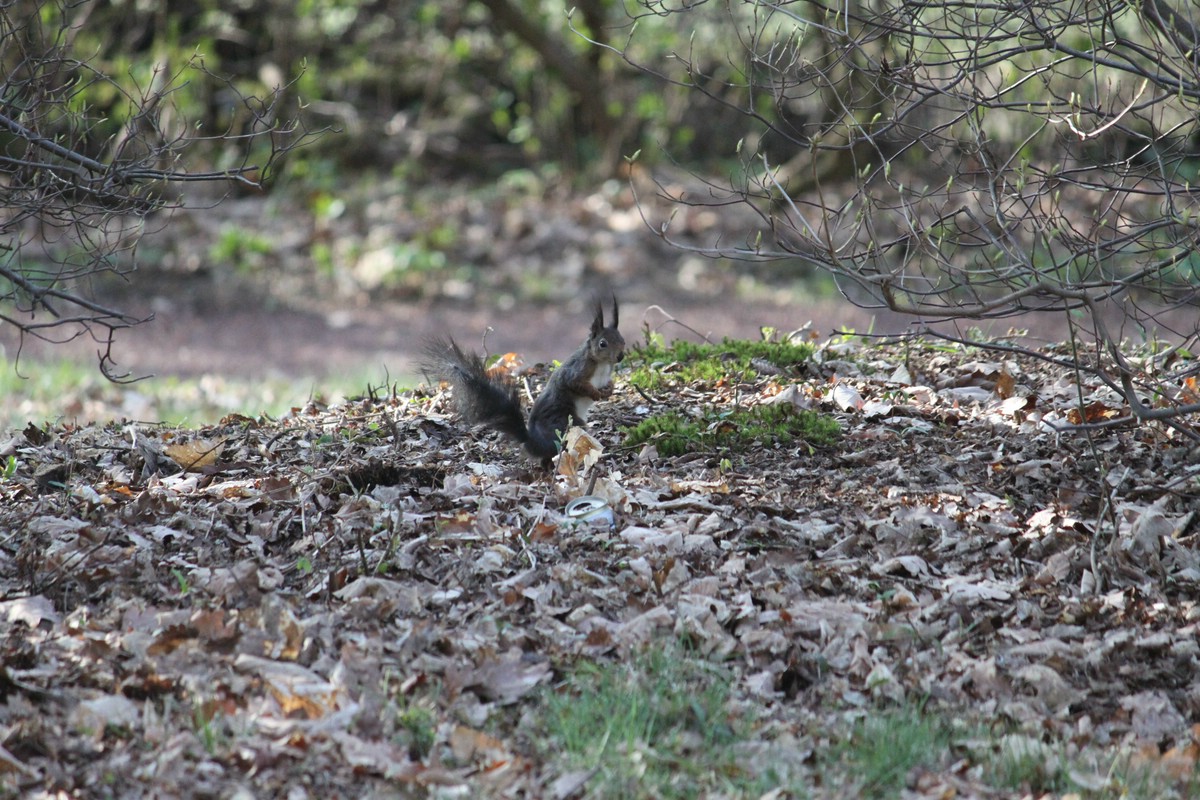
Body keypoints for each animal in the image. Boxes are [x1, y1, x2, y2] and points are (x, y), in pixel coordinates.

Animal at [422, 298, 628, 462]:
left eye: (622, 339)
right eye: (602, 344)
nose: (620, 357)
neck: (601, 364)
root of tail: (534, 442)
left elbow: (607, 384)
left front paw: (609, 389)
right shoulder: (577, 370)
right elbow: (575, 384)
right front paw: (595, 393)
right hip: (564, 422)